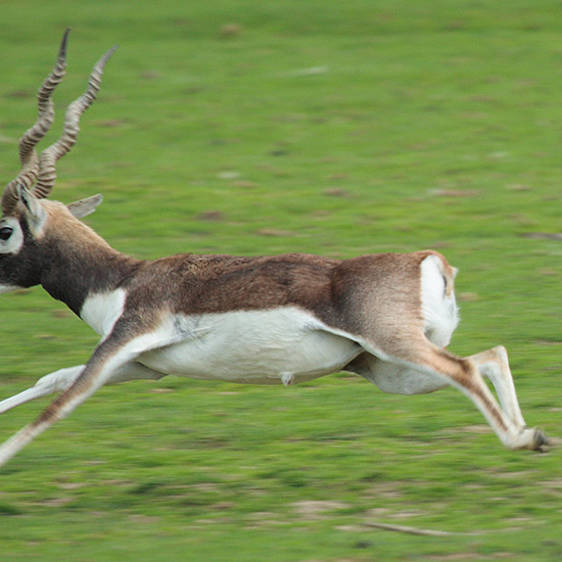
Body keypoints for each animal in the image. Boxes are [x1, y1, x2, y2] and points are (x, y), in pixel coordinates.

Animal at [0, 30, 548, 464]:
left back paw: (521, 440)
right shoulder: (141, 366)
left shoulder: (124, 340)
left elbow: (58, 404)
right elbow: (52, 379)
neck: (121, 280)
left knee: (466, 368)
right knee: (489, 355)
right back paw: (534, 434)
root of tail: (427, 262)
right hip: (387, 368)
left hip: (394, 346)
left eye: (5, 229)